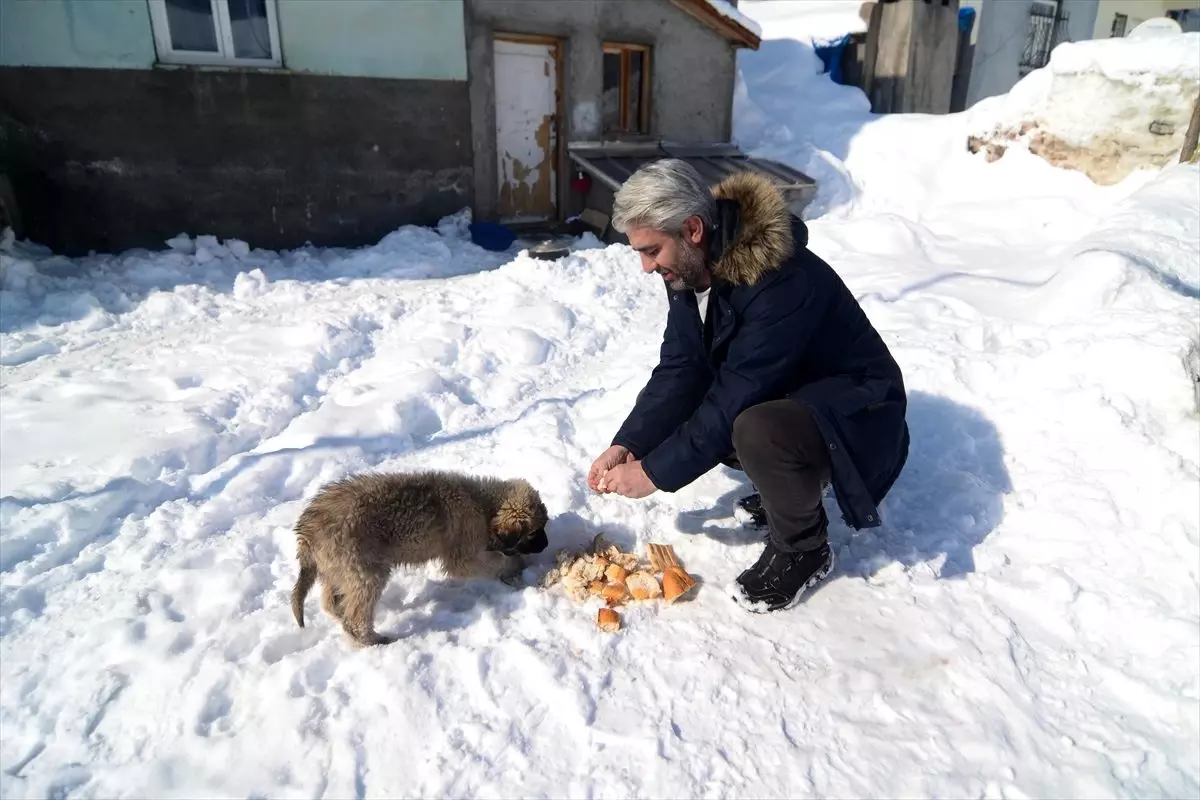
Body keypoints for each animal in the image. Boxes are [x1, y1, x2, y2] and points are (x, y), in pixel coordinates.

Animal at [290, 472, 549, 647]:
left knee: (331, 603)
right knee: (355, 617)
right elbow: (497, 562)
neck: (483, 505)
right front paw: (515, 569)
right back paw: (374, 640)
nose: (546, 545)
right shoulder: (463, 557)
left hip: (338, 569)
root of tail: (307, 532)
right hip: (365, 571)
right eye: (535, 532)